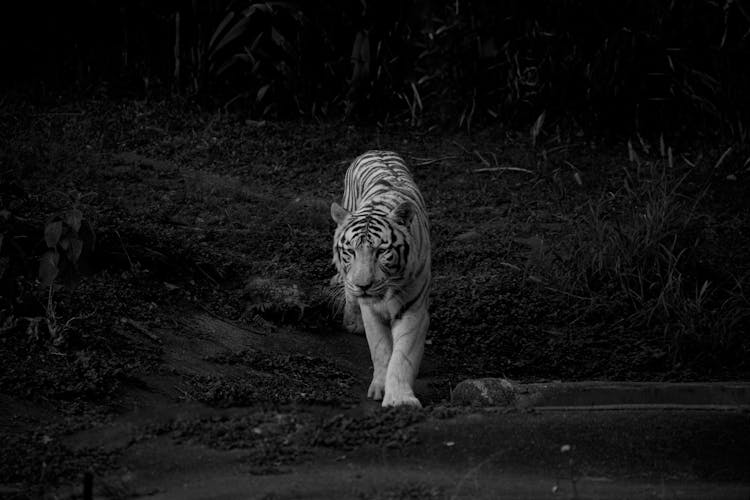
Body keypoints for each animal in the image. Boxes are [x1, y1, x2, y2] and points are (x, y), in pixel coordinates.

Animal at [332, 150, 432, 408]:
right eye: (351, 252)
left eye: (381, 252)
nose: (363, 285)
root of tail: (375, 150)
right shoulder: (371, 310)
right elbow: (381, 348)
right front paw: (380, 386)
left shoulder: (413, 309)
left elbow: (403, 356)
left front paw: (400, 399)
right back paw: (352, 322)